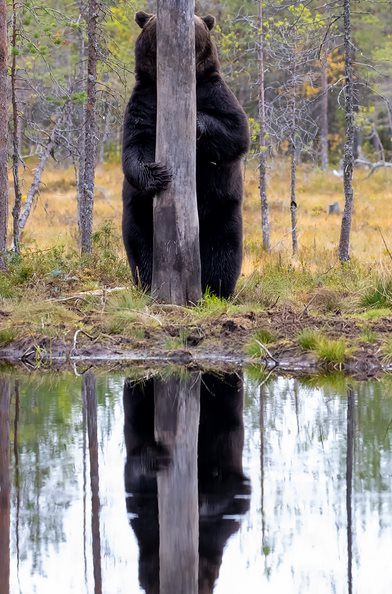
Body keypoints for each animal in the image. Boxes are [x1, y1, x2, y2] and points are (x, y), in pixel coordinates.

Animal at [122, 12, 250, 300]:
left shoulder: (214, 91)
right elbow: (135, 145)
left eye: (196, 22)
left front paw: (196, 122)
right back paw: (148, 282)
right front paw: (157, 174)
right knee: (141, 245)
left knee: (224, 249)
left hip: (222, 209)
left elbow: (236, 131)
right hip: (140, 212)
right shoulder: (145, 100)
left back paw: (217, 289)